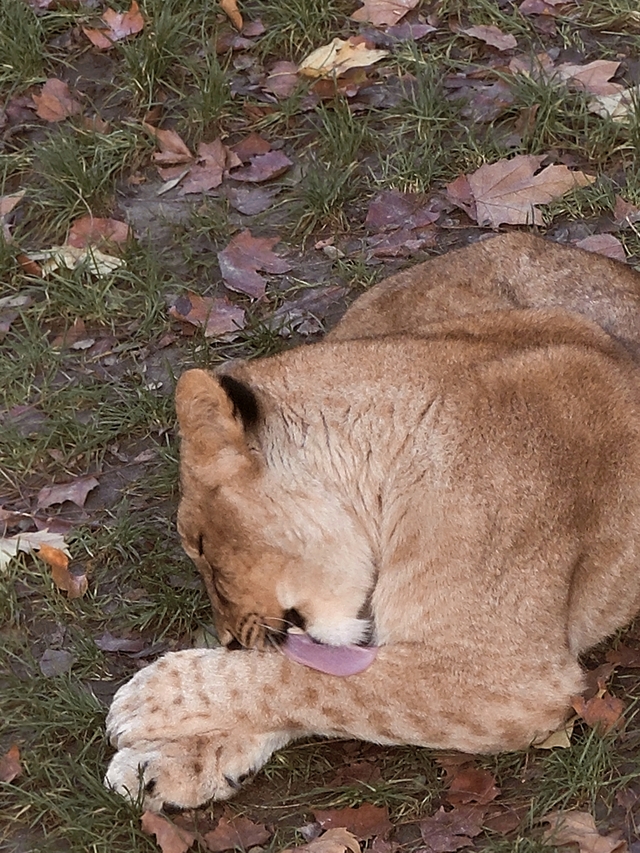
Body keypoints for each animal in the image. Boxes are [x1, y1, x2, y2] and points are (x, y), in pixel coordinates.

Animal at [105, 231, 640, 804]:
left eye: (204, 548)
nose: (228, 640)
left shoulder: (511, 680)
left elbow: (320, 685)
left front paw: (151, 697)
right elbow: (321, 678)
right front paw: (165, 755)